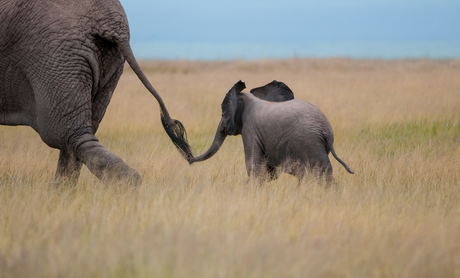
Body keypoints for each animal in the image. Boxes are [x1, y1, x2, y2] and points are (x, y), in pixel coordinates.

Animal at [189, 80, 354, 184]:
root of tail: (325, 129)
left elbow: (254, 166)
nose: (189, 159)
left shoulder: (250, 130)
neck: (250, 99)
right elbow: (268, 172)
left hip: (309, 143)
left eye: (223, 114)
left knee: (321, 174)